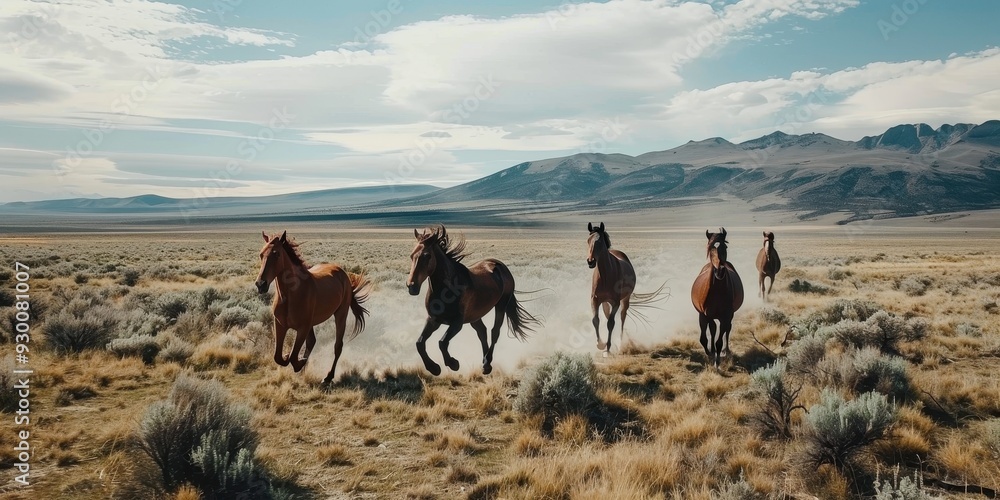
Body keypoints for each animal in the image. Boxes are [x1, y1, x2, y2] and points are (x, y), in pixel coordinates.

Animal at [254, 231, 370, 384]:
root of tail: (342, 272)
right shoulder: (280, 325)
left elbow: (293, 356)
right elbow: (278, 357)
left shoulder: (302, 327)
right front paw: (293, 359)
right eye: (261, 254)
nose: (261, 284)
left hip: (341, 314)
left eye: (276, 254)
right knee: (312, 342)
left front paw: (299, 361)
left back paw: (328, 377)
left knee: (337, 346)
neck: (291, 294)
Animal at [406, 225, 538, 375]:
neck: (446, 288)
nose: (411, 286)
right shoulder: (433, 320)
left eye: (427, 256)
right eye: (412, 255)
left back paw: (487, 363)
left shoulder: (457, 323)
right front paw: (434, 368)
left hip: (501, 305)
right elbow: (419, 343)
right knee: (482, 332)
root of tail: (500, 265)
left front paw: (453, 363)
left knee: (494, 332)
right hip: (475, 316)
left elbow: (442, 342)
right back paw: (486, 364)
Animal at [586, 222, 667, 356]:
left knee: (622, 317)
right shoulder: (595, 300)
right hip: (605, 303)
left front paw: (608, 348)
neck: (605, 275)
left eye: (599, 241)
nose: (590, 261)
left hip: (625, 300)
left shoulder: (616, 302)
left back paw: (621, 341)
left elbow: (611, 323)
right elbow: (595, 320)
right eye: (588, 240)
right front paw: (600, 344)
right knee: (607, 316)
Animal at [690, 228, 744, 369]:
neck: (717, 291)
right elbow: (705, 337)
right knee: (713, 329)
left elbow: (719, 340)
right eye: (710, 248)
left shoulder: (726, 316)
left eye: (724, 246)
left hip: (729, 316)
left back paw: (726, 350)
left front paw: (717, 361)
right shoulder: (705, 314)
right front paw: (710, 354)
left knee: (727, 330)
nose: (719, 270)